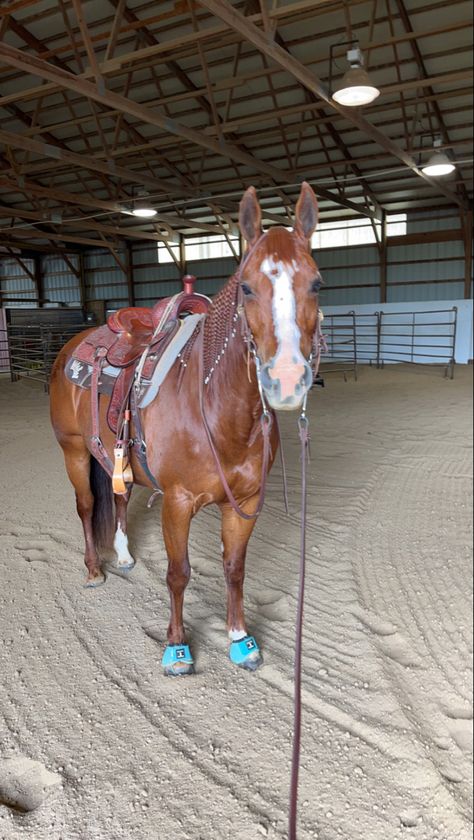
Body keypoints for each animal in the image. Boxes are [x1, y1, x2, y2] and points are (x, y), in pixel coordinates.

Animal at [50, 182, 320, 676]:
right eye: (247, 287)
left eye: (316, 283)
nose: (287, 379)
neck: (219, 414)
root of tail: (74, 345)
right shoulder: (176, 504)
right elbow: (179, 574)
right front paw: (176, 648)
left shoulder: (244, 503)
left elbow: (234, 567)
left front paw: (240, 638)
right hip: (73, 450)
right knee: (86, 506)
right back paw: (95, 570)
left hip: (116, 458)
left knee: (119, 499)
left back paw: (123, 555)